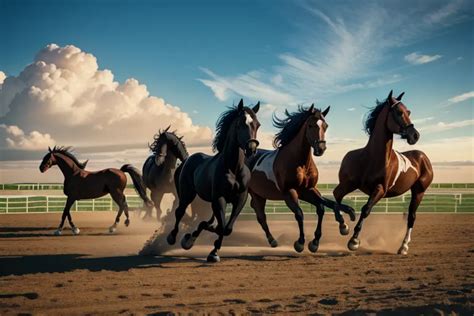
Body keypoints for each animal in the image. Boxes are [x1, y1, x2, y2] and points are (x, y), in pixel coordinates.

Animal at [167, 99, 262, 262]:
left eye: (257, 124)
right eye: (240, 123)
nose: (252, 148)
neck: (233, 168)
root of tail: (187, 160)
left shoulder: (240, 198)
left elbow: (226, 228)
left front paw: (210, 247)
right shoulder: (219, 198)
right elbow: (221, 226)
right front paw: (211, 252)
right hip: (187, 194)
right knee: (179, 212)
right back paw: (173, 238)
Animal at [246, 105, 354, 253]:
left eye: (325, 125)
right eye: (310, 125)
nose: (321, 148)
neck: (300, 164)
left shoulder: (307, 190)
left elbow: (321, 207)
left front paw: (316, 242)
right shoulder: (289, 192)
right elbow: (299, 214)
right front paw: (300, 243)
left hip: (261, 195)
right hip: (255, 194)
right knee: (261, 217)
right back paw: (272, 240)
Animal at [334, 90, 434, 254]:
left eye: (409, 112)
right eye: (399, 112)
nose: (415, 135)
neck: (372, 157)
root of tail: (423, 156)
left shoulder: (380, 189)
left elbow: (366, 209)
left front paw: (354, 241)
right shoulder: (349, 183)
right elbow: (337, 197)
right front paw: (344, 226)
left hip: (419, 191)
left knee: (412, 216)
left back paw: (403, 246)